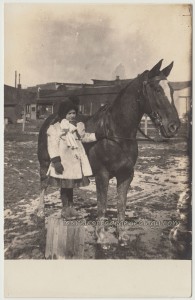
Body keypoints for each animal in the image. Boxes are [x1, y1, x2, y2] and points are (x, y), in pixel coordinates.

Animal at [36, 59, 180, 246]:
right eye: (157, 89)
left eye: (171, 90)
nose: (174, 126)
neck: (116, 134)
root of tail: (50, 118)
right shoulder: (102, 175)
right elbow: (102, 205)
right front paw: (101, 237)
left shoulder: (126, 175)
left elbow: (121, 205)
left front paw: (122, 235)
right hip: (46, 164)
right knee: (43, 185)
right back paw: (41, 212)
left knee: (66, 189)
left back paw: (68, 213)